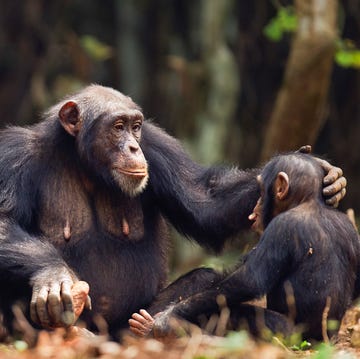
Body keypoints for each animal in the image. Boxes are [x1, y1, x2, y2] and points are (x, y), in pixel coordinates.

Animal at [129, 153, 358, 344]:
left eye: (262, 191)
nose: (255, 206)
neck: (309, 202)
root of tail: (324, 340)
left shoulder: (280, 229)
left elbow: (248, 280)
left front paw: (166, 319)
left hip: (288, 334)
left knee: (237, 313)